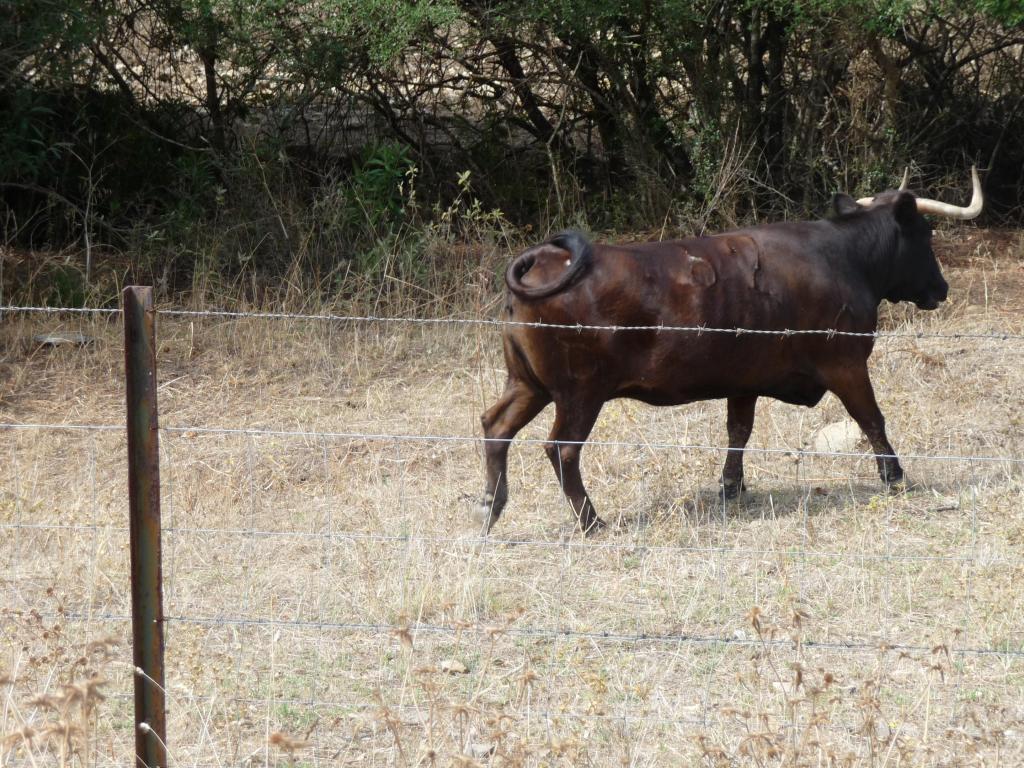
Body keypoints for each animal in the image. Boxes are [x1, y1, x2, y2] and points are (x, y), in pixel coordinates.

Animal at [479, 169, 983, 536]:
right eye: (924, 233)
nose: (941, 288)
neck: (844, 258)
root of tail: (545, 257)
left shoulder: (745, 379)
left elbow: (738, 430)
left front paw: (730, 485)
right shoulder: (846, 363)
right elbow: (872, 419)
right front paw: (894, 475)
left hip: (527, 384)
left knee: (496, 428)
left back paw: (491, 506)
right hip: (580, 393)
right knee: (562, 448)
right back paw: (591, 521)